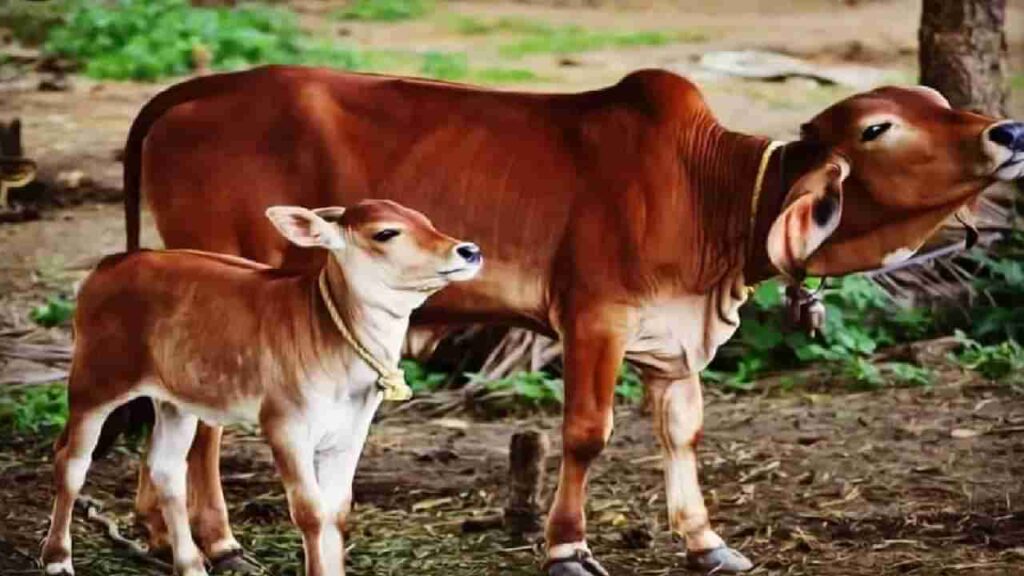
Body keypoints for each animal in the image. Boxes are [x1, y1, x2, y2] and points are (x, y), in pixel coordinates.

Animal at [40, 200, 483, 576]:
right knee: (71, 461)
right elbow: (310, 512)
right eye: (386, 233)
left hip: (175, 399)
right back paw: (58, 559)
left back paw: (191, 564)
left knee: (166, 469)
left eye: (426, 220)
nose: (469, 250)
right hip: (95, 380)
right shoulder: (284, 422)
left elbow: (337, 512)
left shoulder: (352, 429)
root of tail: (112, 262)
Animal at [116, 66, 1024, 575]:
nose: (1008, 129)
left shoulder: (673, 341)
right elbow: (588, 434)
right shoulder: (595, 318)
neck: (708, 191)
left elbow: (683, 433)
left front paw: (705, 542)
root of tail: (197, 90)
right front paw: (568, 548)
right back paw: (216, 543)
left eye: (938, 99)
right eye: (878, 126)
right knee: (202, 427)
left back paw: (163, 537)